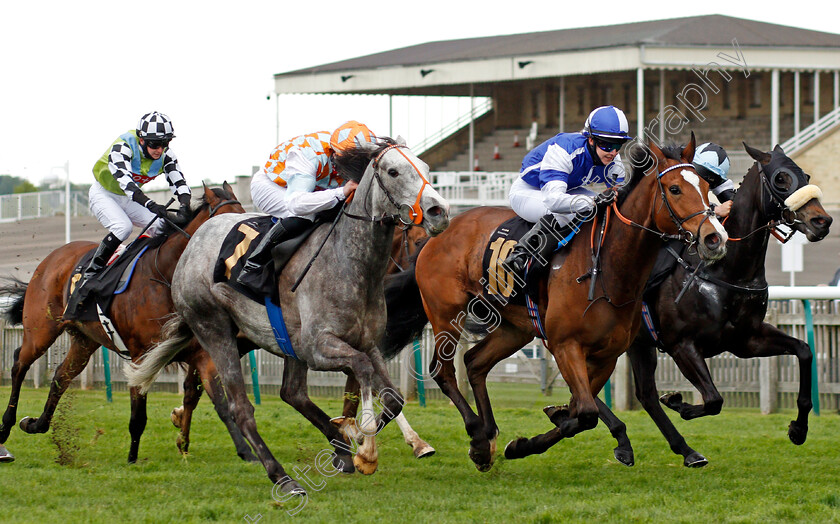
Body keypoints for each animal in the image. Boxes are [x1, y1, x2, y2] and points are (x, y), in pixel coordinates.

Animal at [0, 184, 253, 462]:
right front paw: (132, 458)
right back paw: (6, 428)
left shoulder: (201, 355)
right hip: (41, 330)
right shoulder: (141, 355)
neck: (165, 276)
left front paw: (246, 451)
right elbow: (139, 414)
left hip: (85, 341)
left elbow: (219, 402)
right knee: (19, 363)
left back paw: (36, 424)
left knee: (61, 375)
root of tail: (50, 259)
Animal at [125, 137, 450, 494]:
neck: (350, 263)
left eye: (426, 168)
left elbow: (393, 398)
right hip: (214, 330)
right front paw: (364, 447)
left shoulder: (366, 343)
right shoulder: (318, 347)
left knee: (291, 393)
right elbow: (363, 371)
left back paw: (338, 449)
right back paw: (282, 476)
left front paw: (362, 437)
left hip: (282, 344)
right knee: (239, 407)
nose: (439, 212)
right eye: (393, 171)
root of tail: (192, 244)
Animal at [380, 136, 728, 470]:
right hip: (445, 313)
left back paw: (489, 437)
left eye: (706, 186)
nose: (715, 238)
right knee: (443, 371)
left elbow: (579, 413)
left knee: (475, 363)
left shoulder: (607, 354)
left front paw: (526, 442)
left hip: (515, 327)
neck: (608, 268)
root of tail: (436, 234)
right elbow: (585, 412)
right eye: (674, 189)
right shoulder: (565, 345)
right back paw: (477, 438)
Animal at [604, 143, 832, 466]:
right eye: (781, 179)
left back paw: (678, 449)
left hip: (638, 343)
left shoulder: (746, 340)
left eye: (807, 175)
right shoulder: (681, 344)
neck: (727, 269)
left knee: (645, 394)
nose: (821, 221)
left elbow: (804, 350)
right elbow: (714, 399)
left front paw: (798, 429)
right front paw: (679, 402)